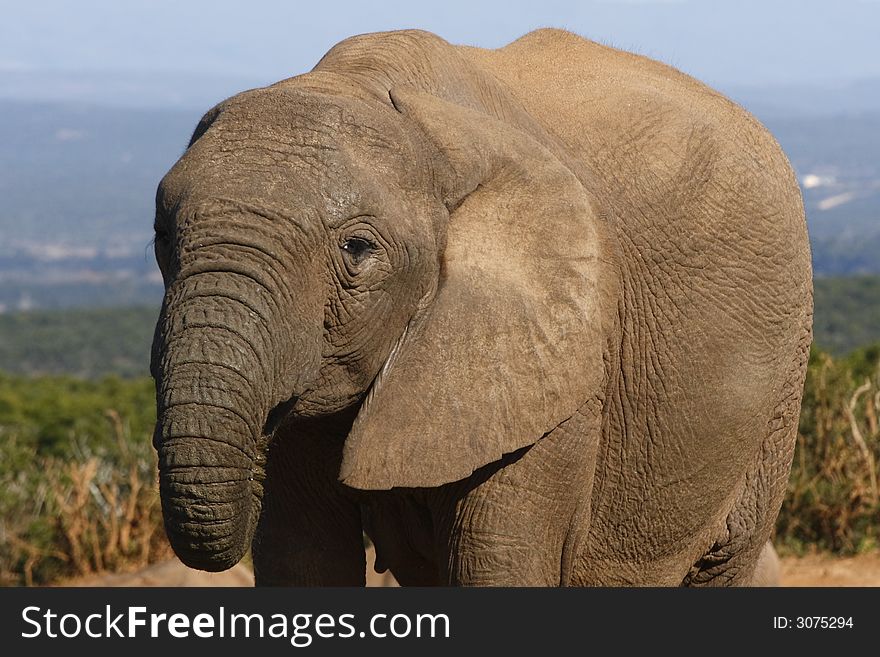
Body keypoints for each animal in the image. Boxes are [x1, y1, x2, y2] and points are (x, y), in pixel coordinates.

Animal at [150, 28, 812, 588]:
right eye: (161, 237)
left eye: (357, 250)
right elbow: (301, 554)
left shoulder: (559, 373)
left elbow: (495, 561)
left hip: (780, 388)